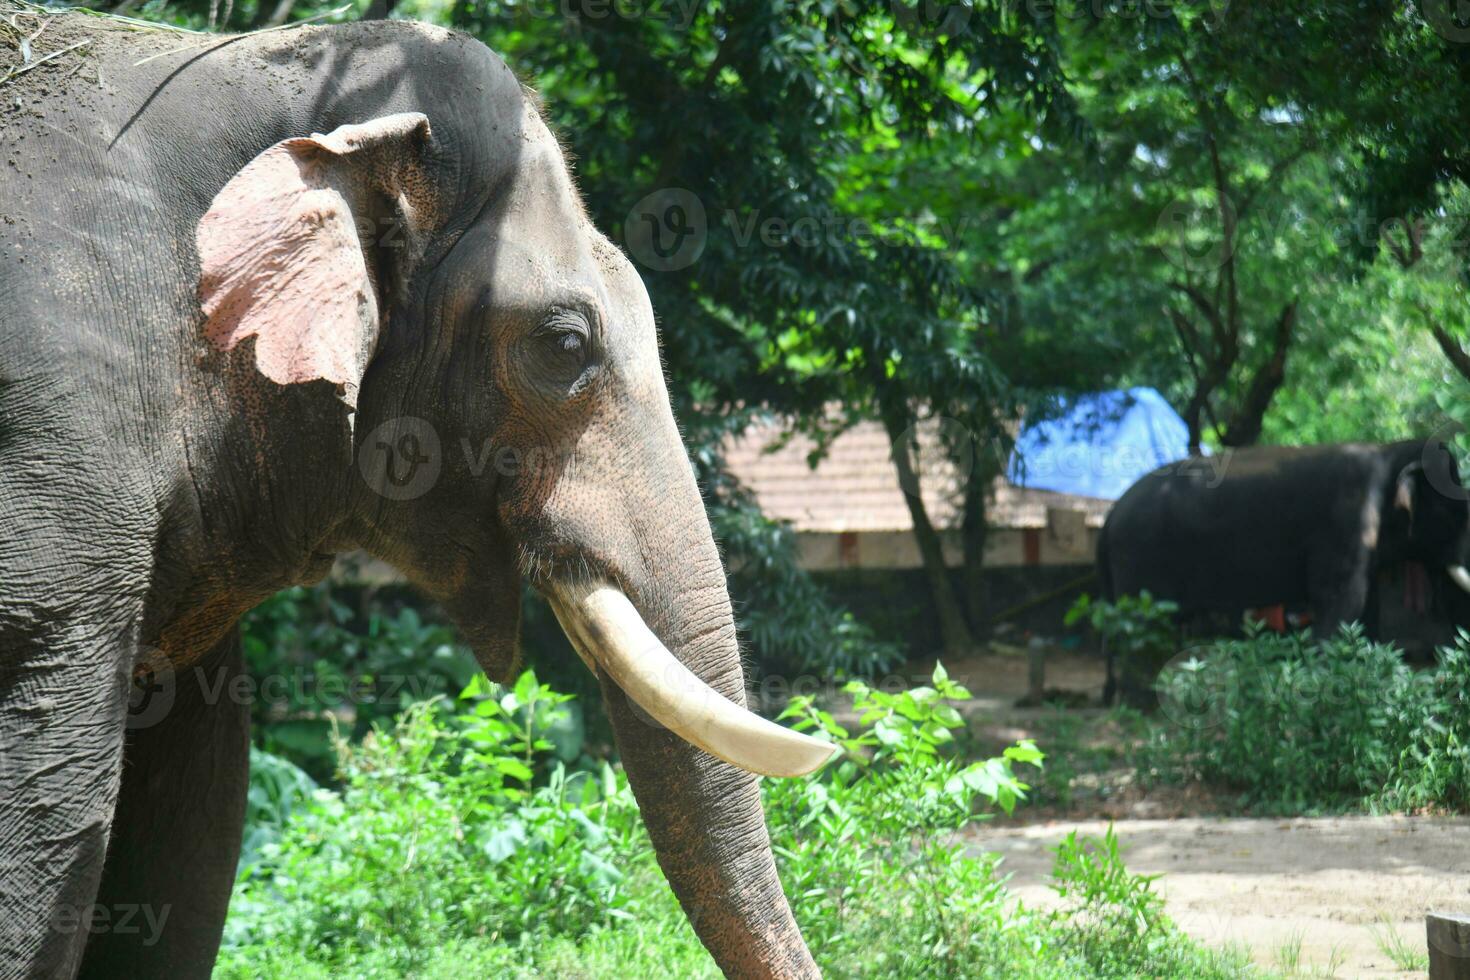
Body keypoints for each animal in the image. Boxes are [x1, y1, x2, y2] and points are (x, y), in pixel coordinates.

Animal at [1099, 440, 1470, 702]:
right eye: (1452, 512)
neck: (1390, 450)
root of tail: (1110, 515)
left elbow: (1366, 608)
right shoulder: (1346, 523)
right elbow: (1341, 602)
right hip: (1141, 562)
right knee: (1145, 631)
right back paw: (1142, 703)